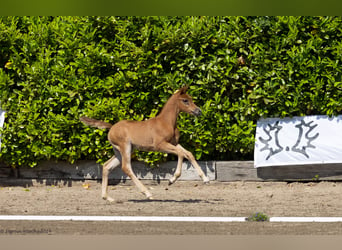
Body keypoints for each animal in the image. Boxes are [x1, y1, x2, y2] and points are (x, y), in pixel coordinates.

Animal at [80, 86, 208, 201]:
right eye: (185, 100)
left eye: (191, 98)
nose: (199, 111)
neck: (167, 122)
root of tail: (111, 127)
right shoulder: (160, 145)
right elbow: (181, 153)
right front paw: (172, 180)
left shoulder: (174, 143)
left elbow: (189, 153)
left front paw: (205, 179)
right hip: (125, 147)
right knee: (126, 167)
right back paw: (147, 193)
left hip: (121, 151)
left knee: (107, 166)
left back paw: (108, 198)